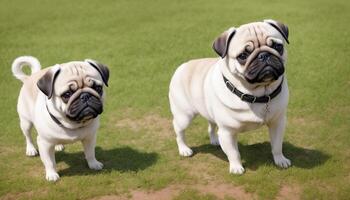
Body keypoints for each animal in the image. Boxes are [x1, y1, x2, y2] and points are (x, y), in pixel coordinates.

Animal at [170, 19, 292, 174]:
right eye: (243, 56)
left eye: (277, 46)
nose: (264, 55)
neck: (257, 94)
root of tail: (183, 66)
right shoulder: (227, 132)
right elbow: (234, 153)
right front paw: (236, 167)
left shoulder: (278, 123)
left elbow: (277, 145)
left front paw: (280, 160)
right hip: (184, 116)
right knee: (179, 130)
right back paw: (184, 149)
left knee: (211, 125)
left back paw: (214, 140)